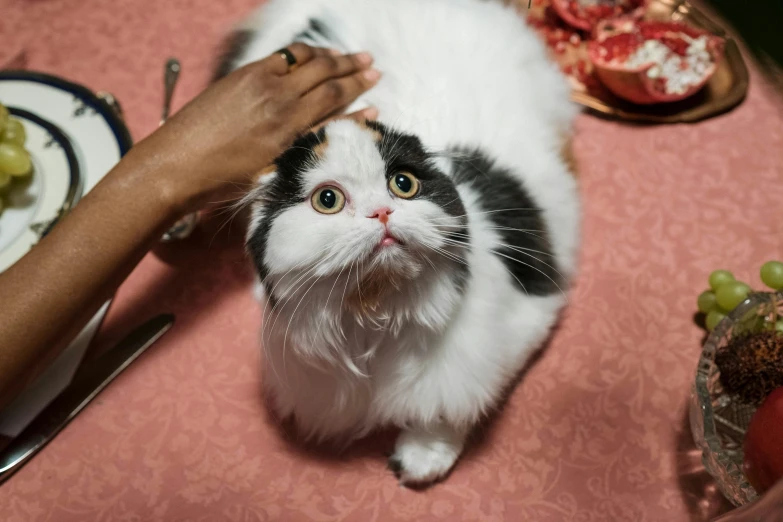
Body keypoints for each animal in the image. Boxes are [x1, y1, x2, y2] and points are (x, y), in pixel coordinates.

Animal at [220, 0, 580, 484]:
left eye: (403, 184)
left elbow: (446, 411)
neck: (375, 314)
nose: (382, 212)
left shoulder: (518, 324)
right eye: (328, 200)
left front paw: (421, 459)